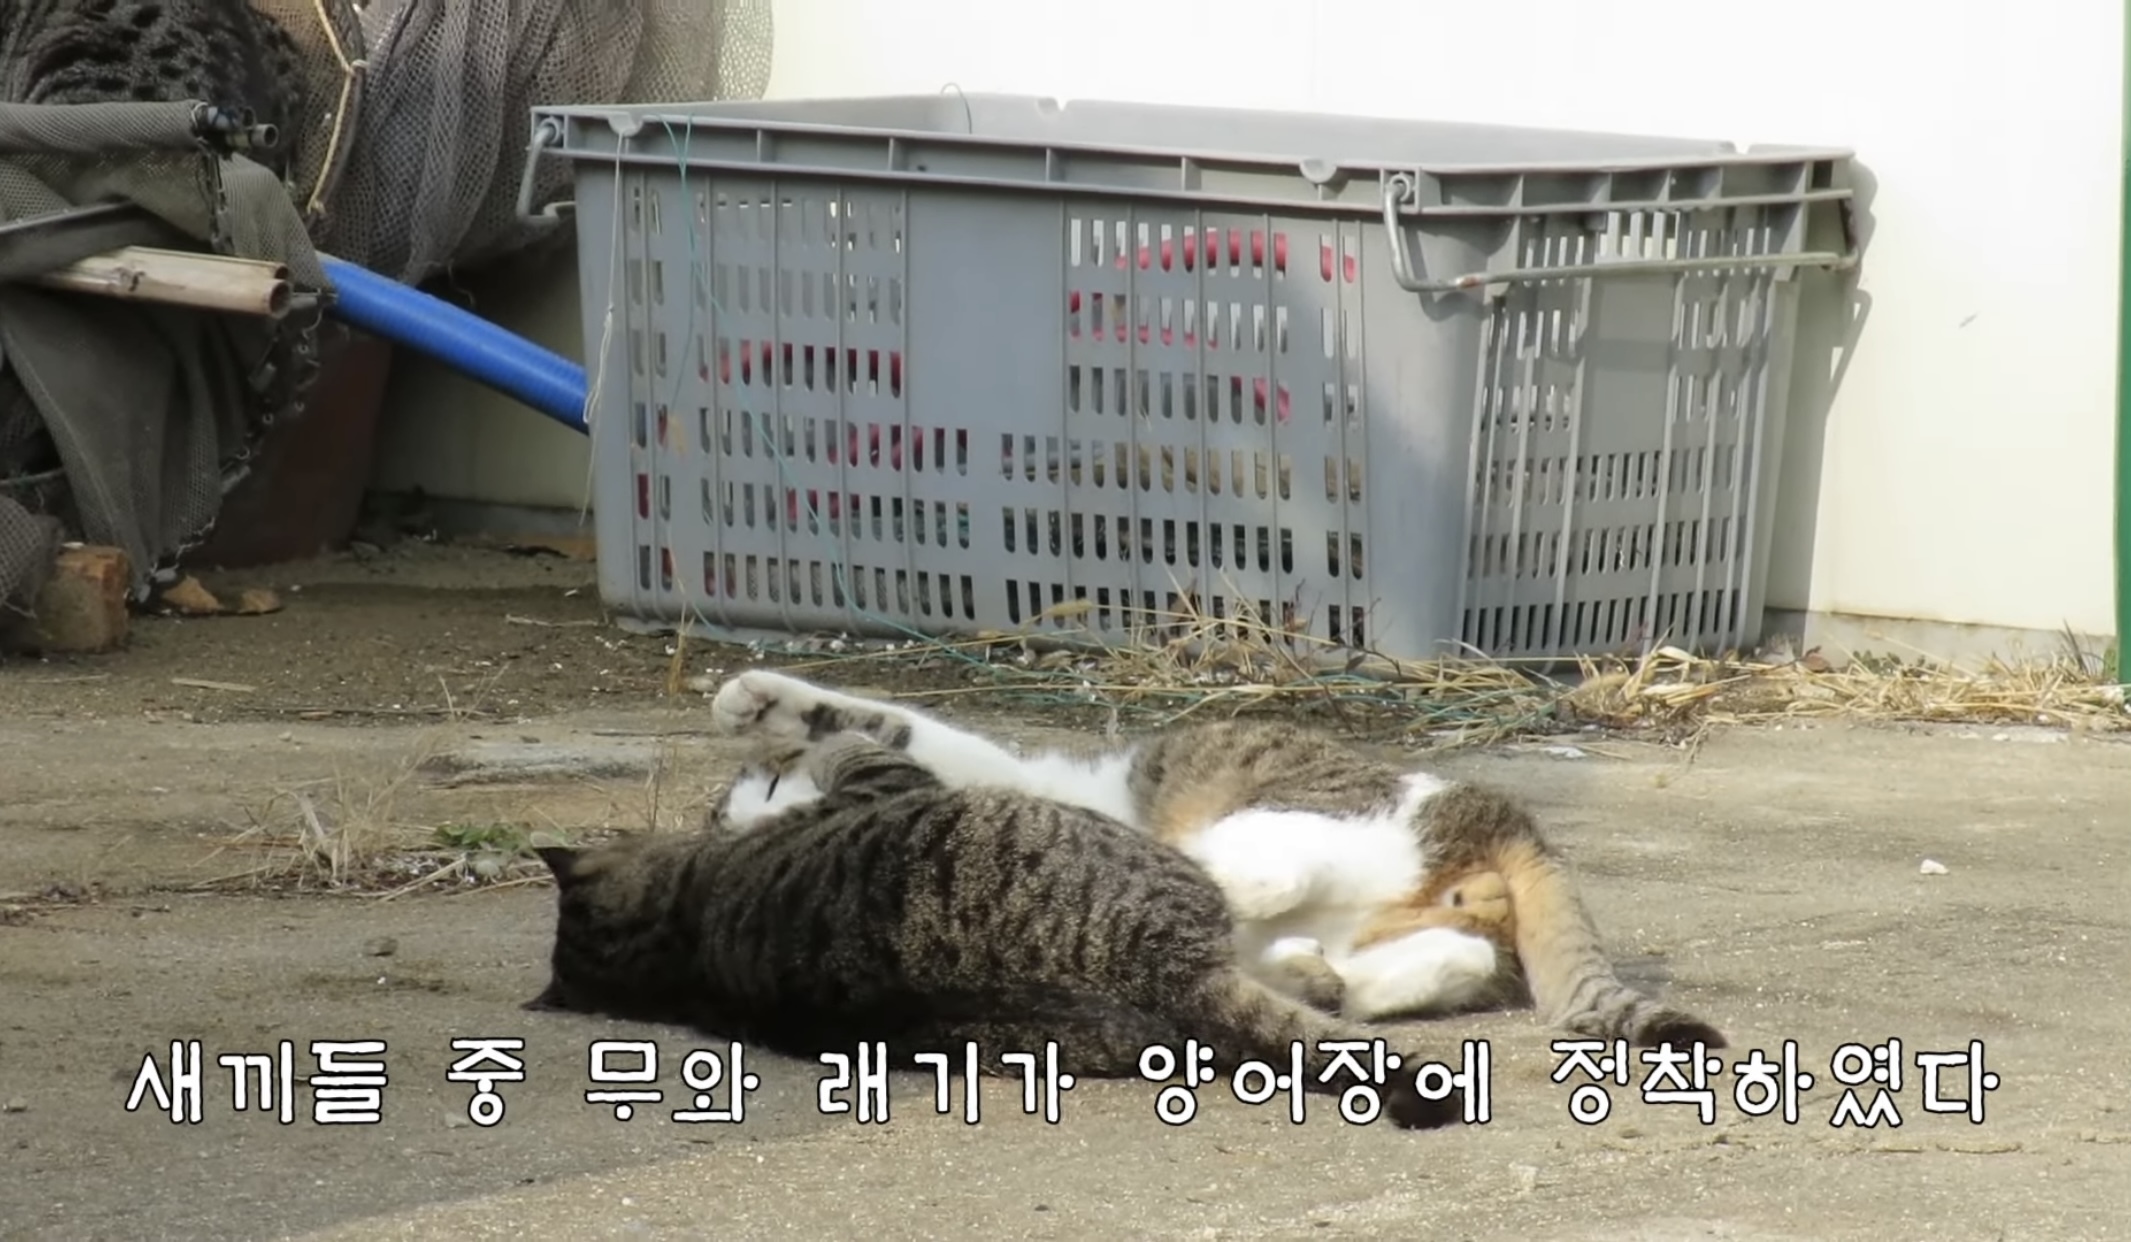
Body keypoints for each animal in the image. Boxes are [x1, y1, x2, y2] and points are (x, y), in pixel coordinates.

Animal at [708, 668, 1725, 1050]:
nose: (744, 812)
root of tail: (1502, 811)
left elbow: (879, 721)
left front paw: (758, 700)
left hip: (1289, 819)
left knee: (1253, 876)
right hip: (1406, 918)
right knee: (1442, 953)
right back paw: (1314, 974)